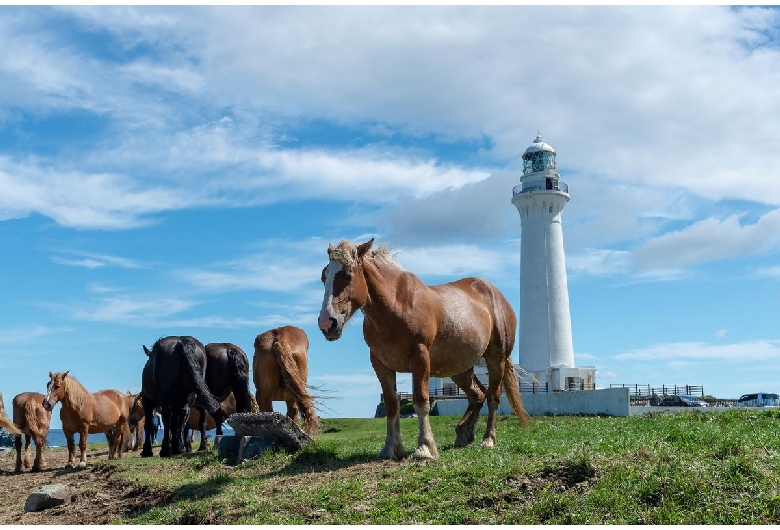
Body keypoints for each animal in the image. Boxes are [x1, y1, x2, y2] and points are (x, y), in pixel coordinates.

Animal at [318, 238, 532, 458]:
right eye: (324, 276)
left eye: (348, 275)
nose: (327, 323)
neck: (397, 306)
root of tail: (496, 295)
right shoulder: (380, 364)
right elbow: (392, 405)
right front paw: (390, 448)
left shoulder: (420, 357)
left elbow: (421, 401)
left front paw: (425, 448)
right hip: (459, 368)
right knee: (477, 394)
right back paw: (463, 433)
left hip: (496, 358)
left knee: (493, 397)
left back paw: (488, 439)